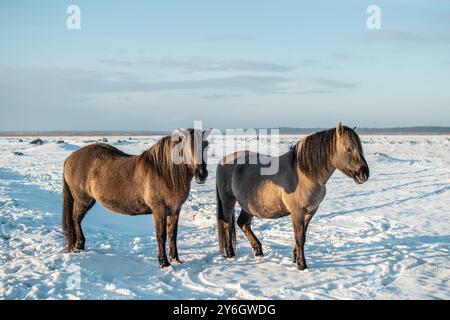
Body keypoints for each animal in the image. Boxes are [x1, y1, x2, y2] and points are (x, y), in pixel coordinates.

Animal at [62, 128, 210, 268]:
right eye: (186, 148)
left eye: (205, 145)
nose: (202, 174)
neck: (165, 174)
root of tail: (70, 158)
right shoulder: (159, 211)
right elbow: (161, 236)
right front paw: (163, 262)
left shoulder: (175, 211)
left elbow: (172, 235)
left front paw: (175, 259)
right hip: (83, 200)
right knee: (75, 218)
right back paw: (79, 246)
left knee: (77, 219)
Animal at [217, 124, 370, 270]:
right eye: (348, 149)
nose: (364, 174)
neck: (304, 174)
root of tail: (224, 160)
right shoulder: (297, 213)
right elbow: (299, 237)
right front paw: (301, 265)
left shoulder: (310, 212)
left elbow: (303, 237)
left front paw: (295, 258)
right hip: (228, 201)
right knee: (227, 224)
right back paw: (230, 254)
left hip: (249, 206)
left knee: (243, 223)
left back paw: (258, 250)